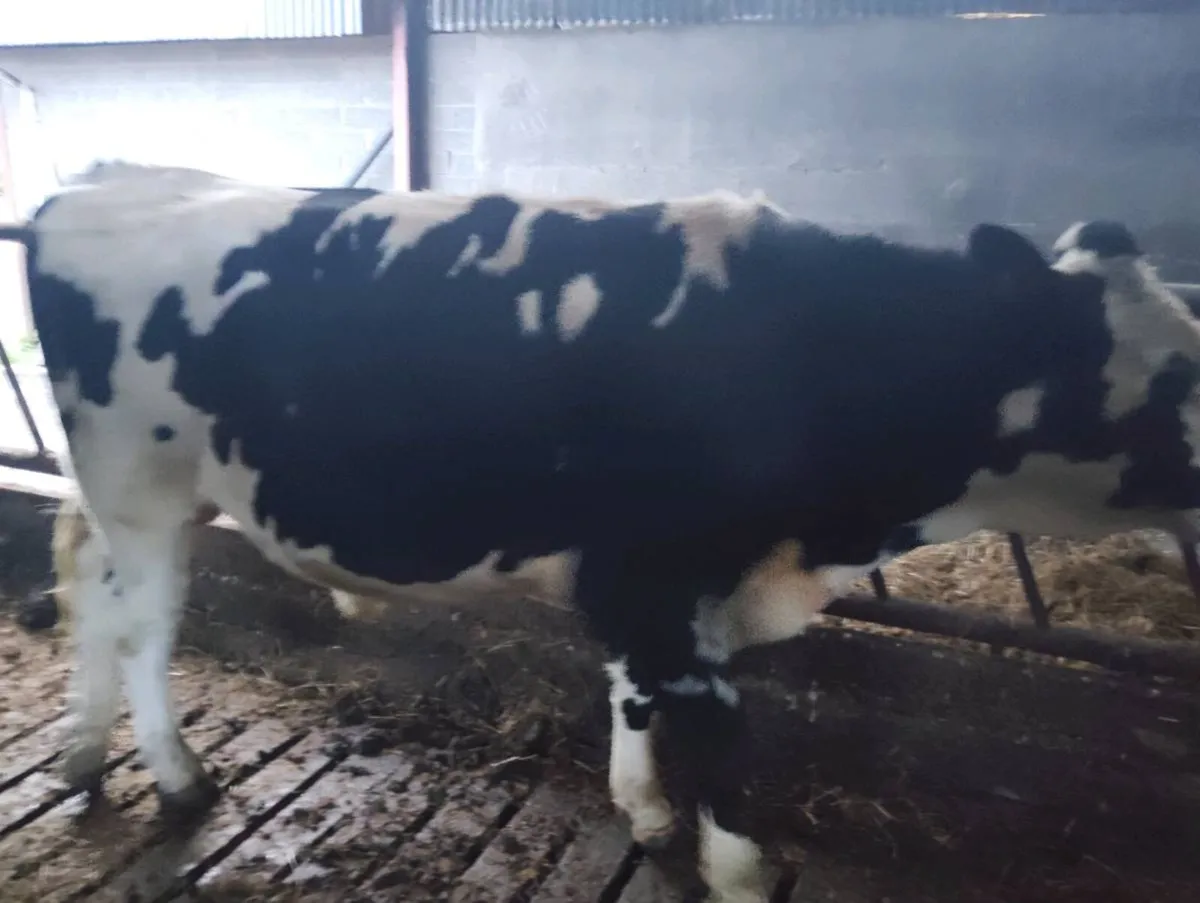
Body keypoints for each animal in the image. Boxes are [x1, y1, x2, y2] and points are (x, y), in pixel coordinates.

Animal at [4, 165, 1200, 903]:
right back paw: (174, 777)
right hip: (144, 489)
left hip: (127, 497)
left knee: (89, 590)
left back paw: (83, 754)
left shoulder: (646, 584)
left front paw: (648, 812)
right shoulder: (661, 578)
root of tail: (101, 182)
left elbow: (629, 692)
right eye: (1166, 378)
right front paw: (733, 867)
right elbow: (720, 743)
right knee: (145, 629)